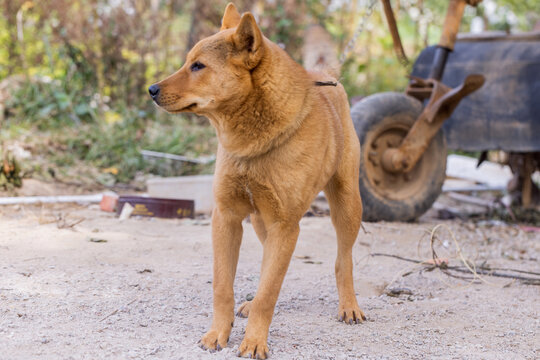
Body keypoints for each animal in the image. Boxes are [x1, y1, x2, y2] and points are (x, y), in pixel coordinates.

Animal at [150, 2, 364, 358]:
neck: (252, 146)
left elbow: (268, 293)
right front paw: (219, 333)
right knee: (268, 268)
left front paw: (253, 341)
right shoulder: (226, 218)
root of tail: (327, 76)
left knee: (342, 260)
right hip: (260, 222)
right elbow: (225, 286)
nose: (150, 90)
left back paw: (349, 305)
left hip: (347, 208)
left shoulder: (285, 226)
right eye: (187, 62)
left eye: (198, 66)